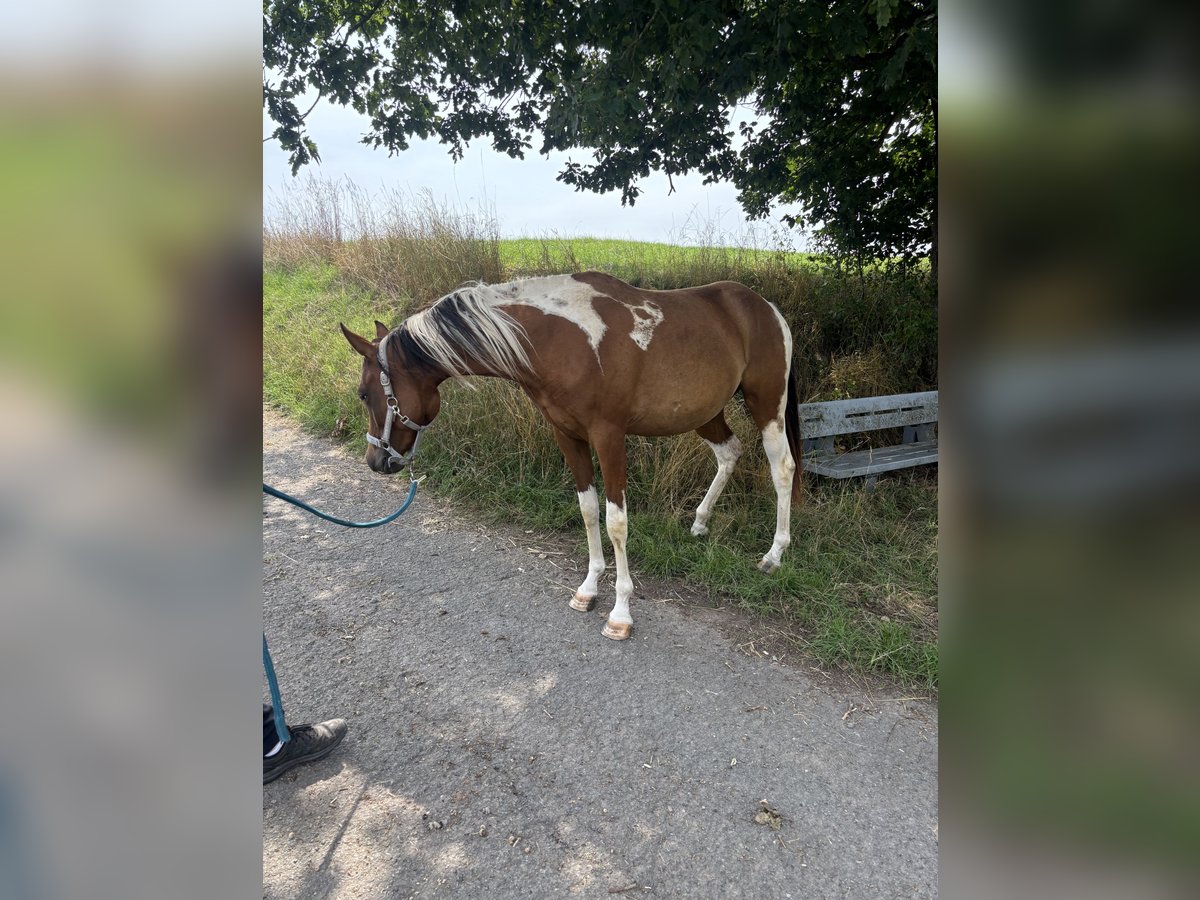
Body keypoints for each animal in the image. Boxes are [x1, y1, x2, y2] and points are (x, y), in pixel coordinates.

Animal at [339, 271, 802, 641]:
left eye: (364, 393)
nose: (376, 461)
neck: (554, 339)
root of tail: (767, 309)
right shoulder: (567, 436)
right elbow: (588, 509)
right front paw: (589, 587)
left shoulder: (609, 436)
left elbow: (616, 521)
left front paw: (621, 612)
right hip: (706, 413)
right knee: (729, 453)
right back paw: (701, 522)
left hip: (766, 405)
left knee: (782, 469)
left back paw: (774, 555)